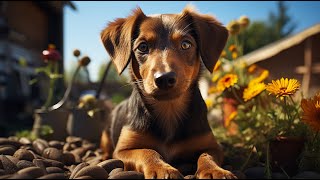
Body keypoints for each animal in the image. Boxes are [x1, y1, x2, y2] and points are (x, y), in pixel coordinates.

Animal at [99, 5, 236, 179]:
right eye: (142, 47)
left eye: (186, 44)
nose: (164, 78)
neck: (169, 108)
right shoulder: (123, 150)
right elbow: (148, 151)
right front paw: (162, 169)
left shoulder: (212, 145)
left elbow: (206, 155)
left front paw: (215, 170)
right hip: (105, 135)